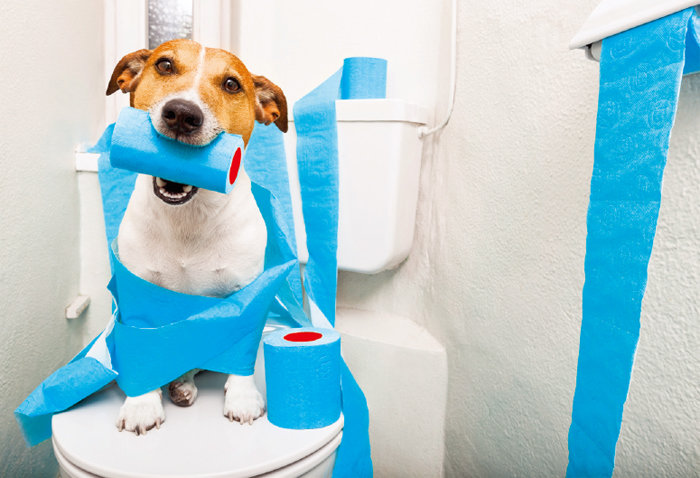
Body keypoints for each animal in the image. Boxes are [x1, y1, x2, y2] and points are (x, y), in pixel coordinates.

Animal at [103, 39, 288, 436]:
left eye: (232, 84)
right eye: (164, 65)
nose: (182, 114)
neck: (188, 218)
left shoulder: (244, 291)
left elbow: (240, 348)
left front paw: (242, 398)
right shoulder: (139, 291)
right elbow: (144, 350)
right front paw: (142, 404)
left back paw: (183, 385)